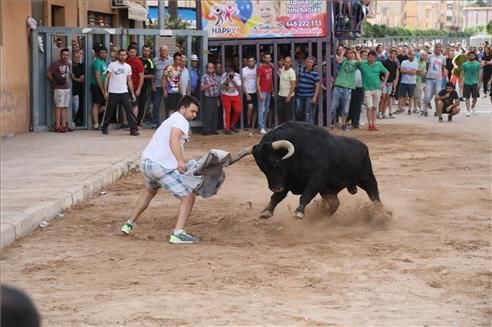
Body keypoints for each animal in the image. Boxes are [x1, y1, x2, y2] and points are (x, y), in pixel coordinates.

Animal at [229, 121, 382, 219]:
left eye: (276, 162)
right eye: (262, 168)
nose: (274, 187)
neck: (297, 152)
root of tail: (363, 146)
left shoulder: (316, 178)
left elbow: (306, 195)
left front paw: (299, 212)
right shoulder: (286, 181)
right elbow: (276, 197)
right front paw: (266, 211)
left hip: (367, 178)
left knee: (374, 195)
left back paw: (383, 214)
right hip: (327, 189)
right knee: (335, 203)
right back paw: (323, 217)